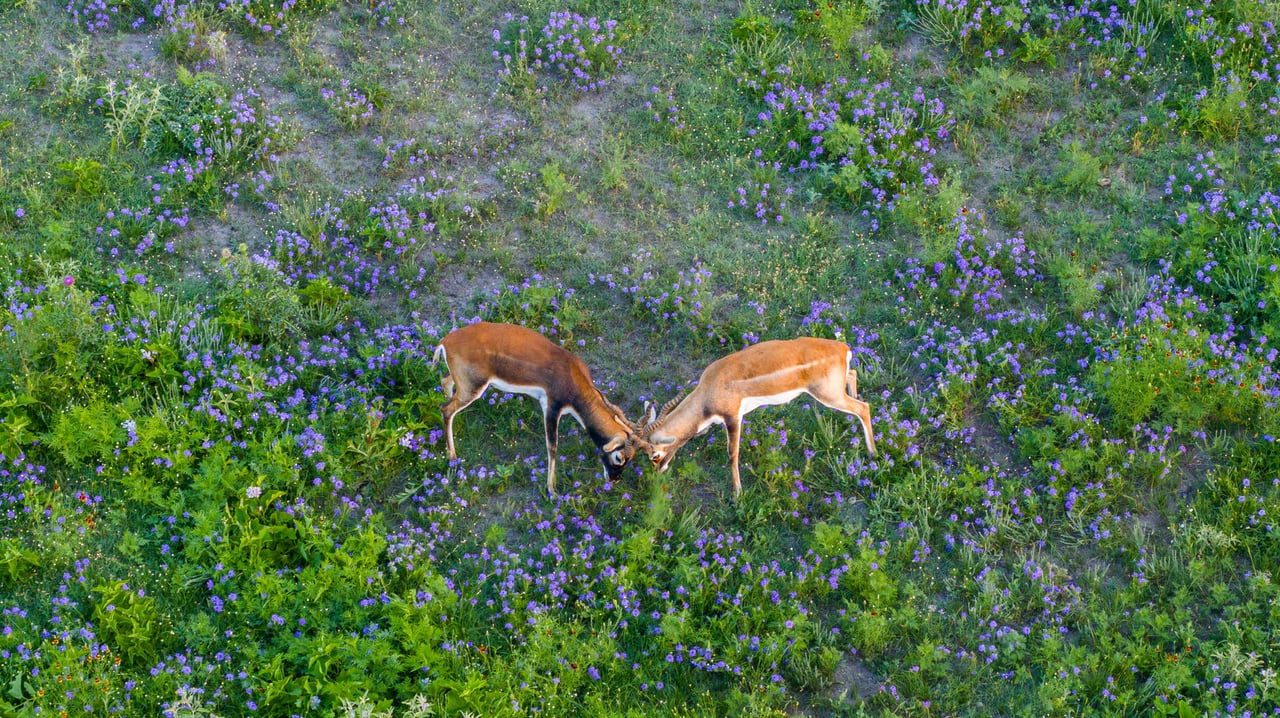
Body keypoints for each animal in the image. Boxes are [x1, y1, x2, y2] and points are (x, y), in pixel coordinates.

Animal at [435, 322, 650, 496]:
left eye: (631, 460)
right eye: (619, 457)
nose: (615, 479)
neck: (573, 376)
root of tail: (446, 341)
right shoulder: (552, 407)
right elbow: (552, 447)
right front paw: (552, 490)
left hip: (463, 385)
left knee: (445, 382)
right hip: (473, 389)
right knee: (446, 409)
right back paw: (453, 459)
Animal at [640, 337, 880, 496]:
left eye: (655, 455)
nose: (657, 472)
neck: (710, 388)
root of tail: (843, 348)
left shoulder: (733, 417)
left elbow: (732, 454)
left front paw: (737, 493)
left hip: (827, 395)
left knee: (863, 407)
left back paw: (872, 453)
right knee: (853, 375)